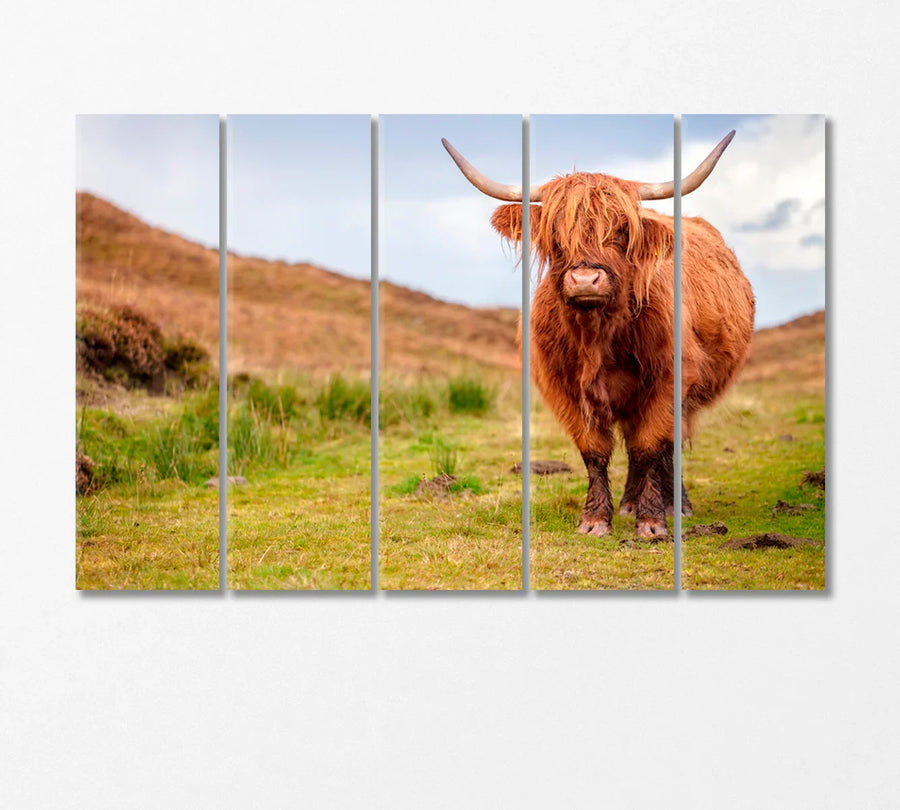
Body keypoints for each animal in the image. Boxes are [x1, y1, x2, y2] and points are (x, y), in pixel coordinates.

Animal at [442, 132, 754, 538]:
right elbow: (594, 451)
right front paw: (595, 519)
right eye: (555, 233)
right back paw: (629, 503)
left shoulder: (669, 380)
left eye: (621, 231)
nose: (585, 279)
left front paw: (652, 522)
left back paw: (676, 505)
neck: (598, 337)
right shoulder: (565, 389)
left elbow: (651, 446)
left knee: (668, 444)